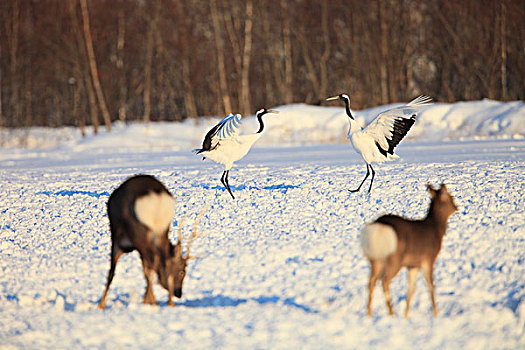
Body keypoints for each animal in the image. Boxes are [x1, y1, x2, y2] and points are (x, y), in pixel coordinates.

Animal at [98, 174, 205, 308]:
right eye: (182, 272)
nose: (179, 293)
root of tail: (157, 197)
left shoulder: (118, 240)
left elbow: (112, 273)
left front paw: (101, 306)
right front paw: (154, 301)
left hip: (139, 232)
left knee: (154, 260)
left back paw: (145, 301)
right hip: (161, 231)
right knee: (160, 260)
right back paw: (168, 303)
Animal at [358, 183, 456, 318]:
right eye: (451, 197)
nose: (456, 207)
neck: (436, 229)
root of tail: (378, 230)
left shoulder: (413, 265)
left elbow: (411, 289)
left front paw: (406, 315)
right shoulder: (428, 259)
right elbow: (430, 285)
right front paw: (436, 313)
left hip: (375, 259)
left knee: (371, 281)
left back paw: (369, 313)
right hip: (394, 259)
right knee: (384, 281)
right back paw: (391, 313)